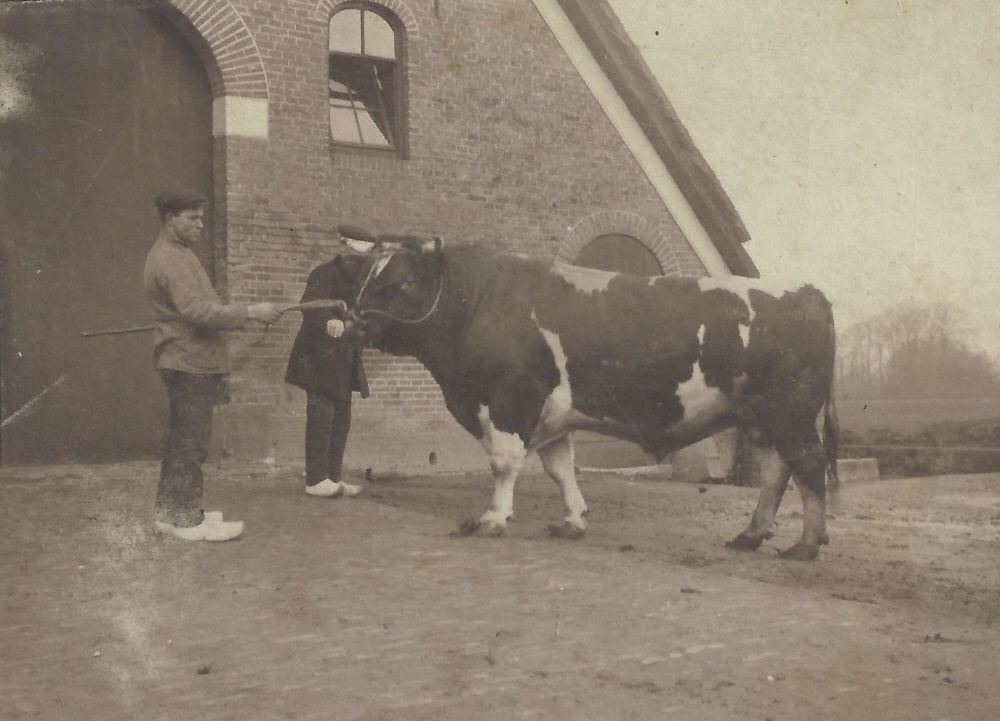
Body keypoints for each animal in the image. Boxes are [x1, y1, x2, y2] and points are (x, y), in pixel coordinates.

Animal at [340, 239, 840, 560]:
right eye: (364, 277)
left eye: (405, 282)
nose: (355, 321)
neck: (479, 302)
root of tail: (806, 292)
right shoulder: (551, 415)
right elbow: (561, 469)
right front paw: (573, 520)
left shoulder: (510, 400)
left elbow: (503, 464)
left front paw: (492, 518)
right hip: (760, 417)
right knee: (777, 472)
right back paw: (752, 534)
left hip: (790, 412)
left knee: (808, 465)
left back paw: (807, 544)